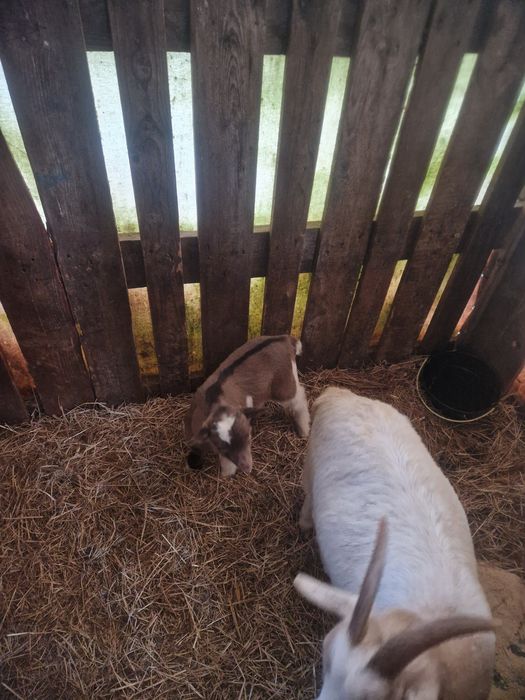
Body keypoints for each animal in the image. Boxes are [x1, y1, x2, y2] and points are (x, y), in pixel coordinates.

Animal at [184, 335, 309, 476]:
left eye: (248, 437)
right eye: (222, 447)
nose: (247, 468)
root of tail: (283, 339)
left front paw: (226, 475)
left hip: (284, 384)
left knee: (298, 399)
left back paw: (304, 430)